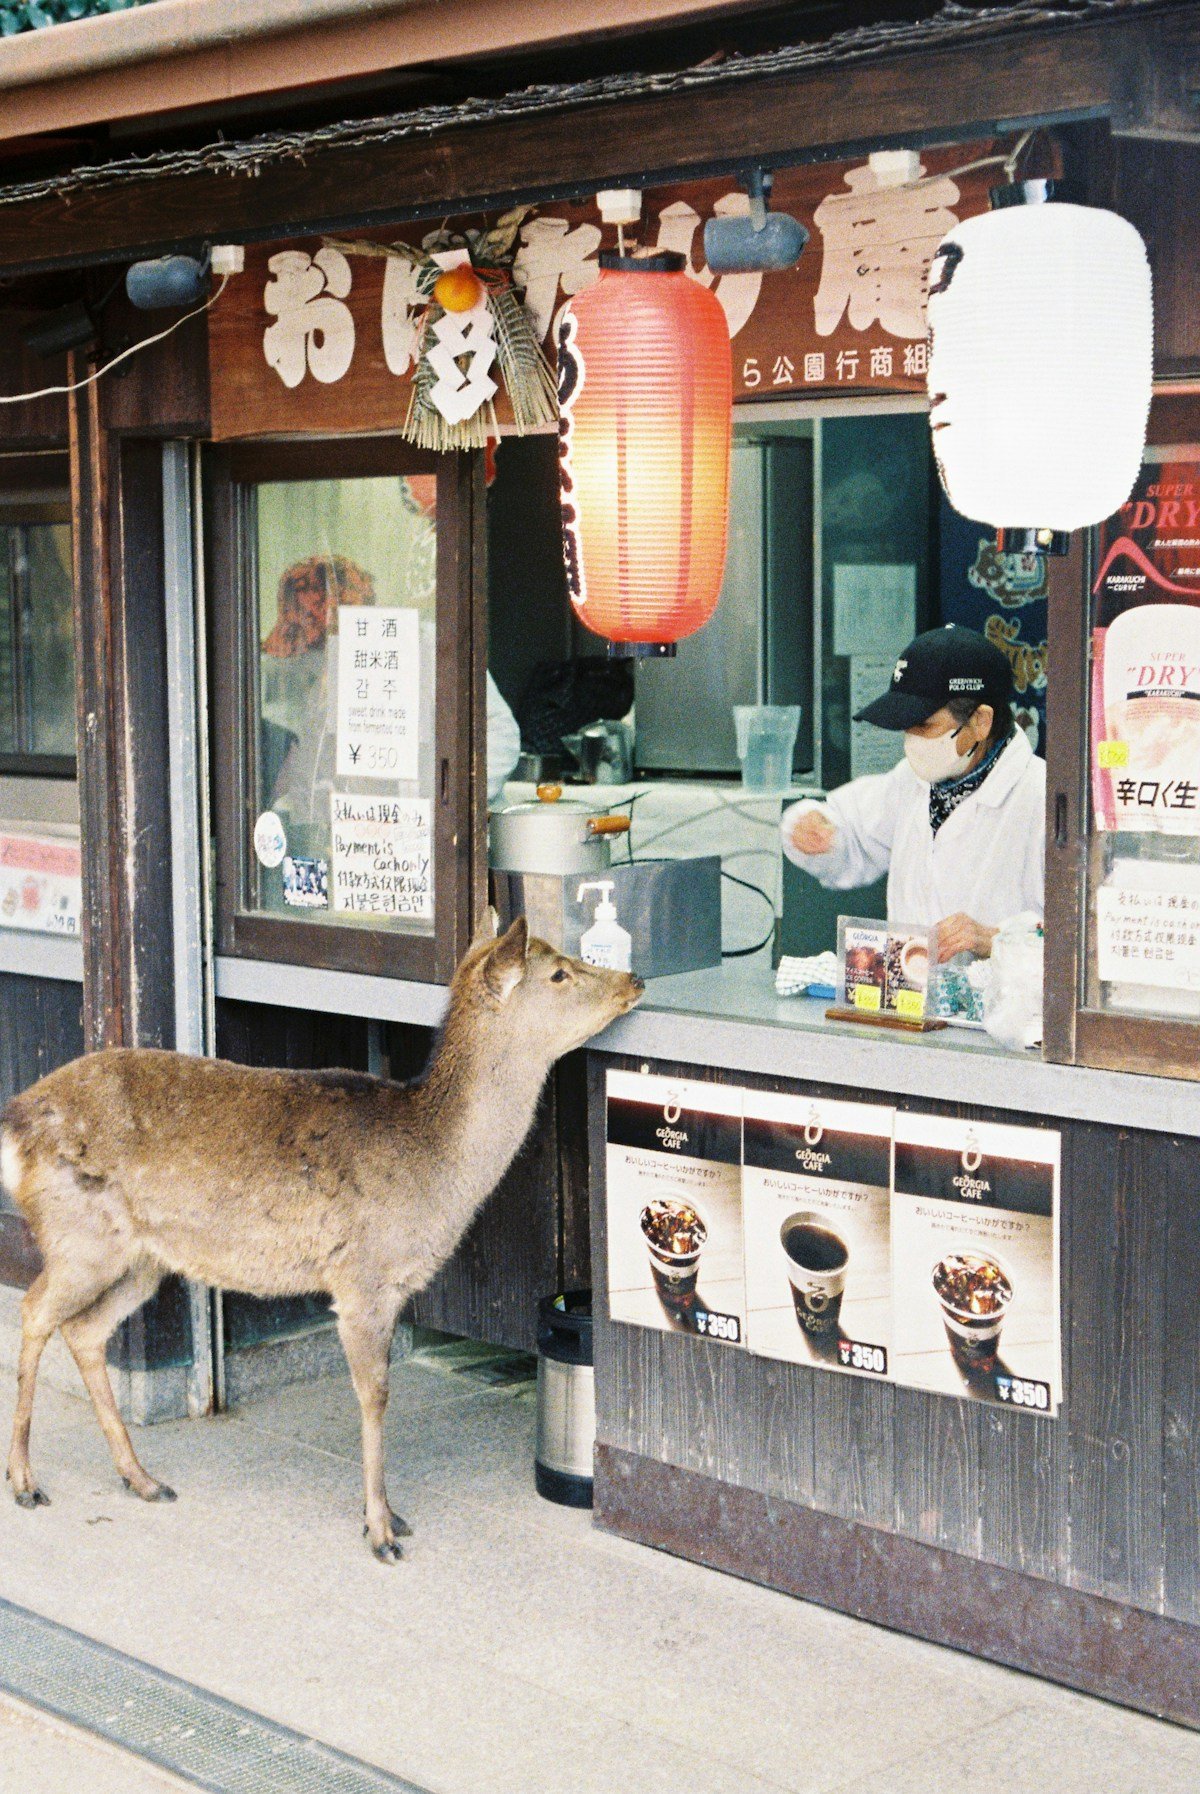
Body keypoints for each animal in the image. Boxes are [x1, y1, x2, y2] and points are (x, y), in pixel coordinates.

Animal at [2, 911, 641, 1561]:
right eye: (559, 972)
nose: (634, 980)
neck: (434, 1173)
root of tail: (16, 1119)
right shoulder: (361, 1281)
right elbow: (375, 1395)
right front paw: (381, 1528)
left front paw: (385, 1517)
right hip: (80, 1237)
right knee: (34, 1311)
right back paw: (25, 1480)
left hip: (142, 1258)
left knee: (85, 1330)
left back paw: (142, 1478)